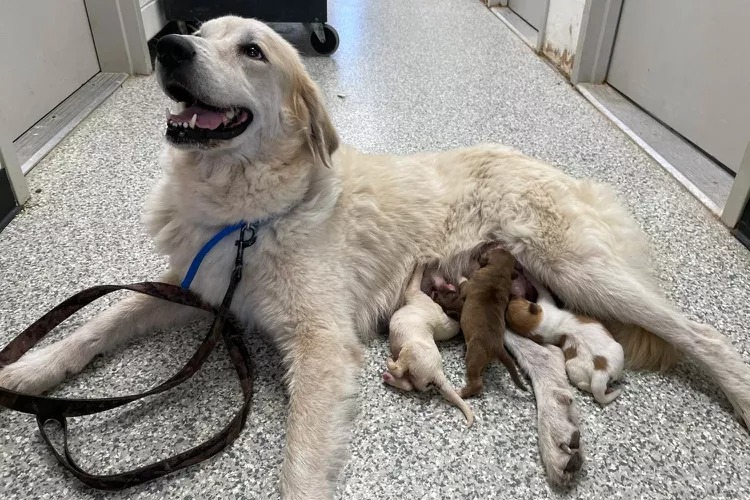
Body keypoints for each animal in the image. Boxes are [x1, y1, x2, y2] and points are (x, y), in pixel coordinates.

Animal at [388, 262, 476, 426]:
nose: (438, 273)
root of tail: (437, 374)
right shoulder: (449, 326)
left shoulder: (415, 292)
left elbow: (415, 278)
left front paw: (421, 263)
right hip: (416, 377)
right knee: (407, 384)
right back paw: (388, 378)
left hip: (411, 351)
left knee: (399, 369)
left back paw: (389, 364)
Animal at [432, 247, 532, 398]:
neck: (499, 271)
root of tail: (497, 347)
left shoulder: (467, 285)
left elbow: (463, 281)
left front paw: (459, 274)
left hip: (473, 357)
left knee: (477, 384)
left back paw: (461, 392)